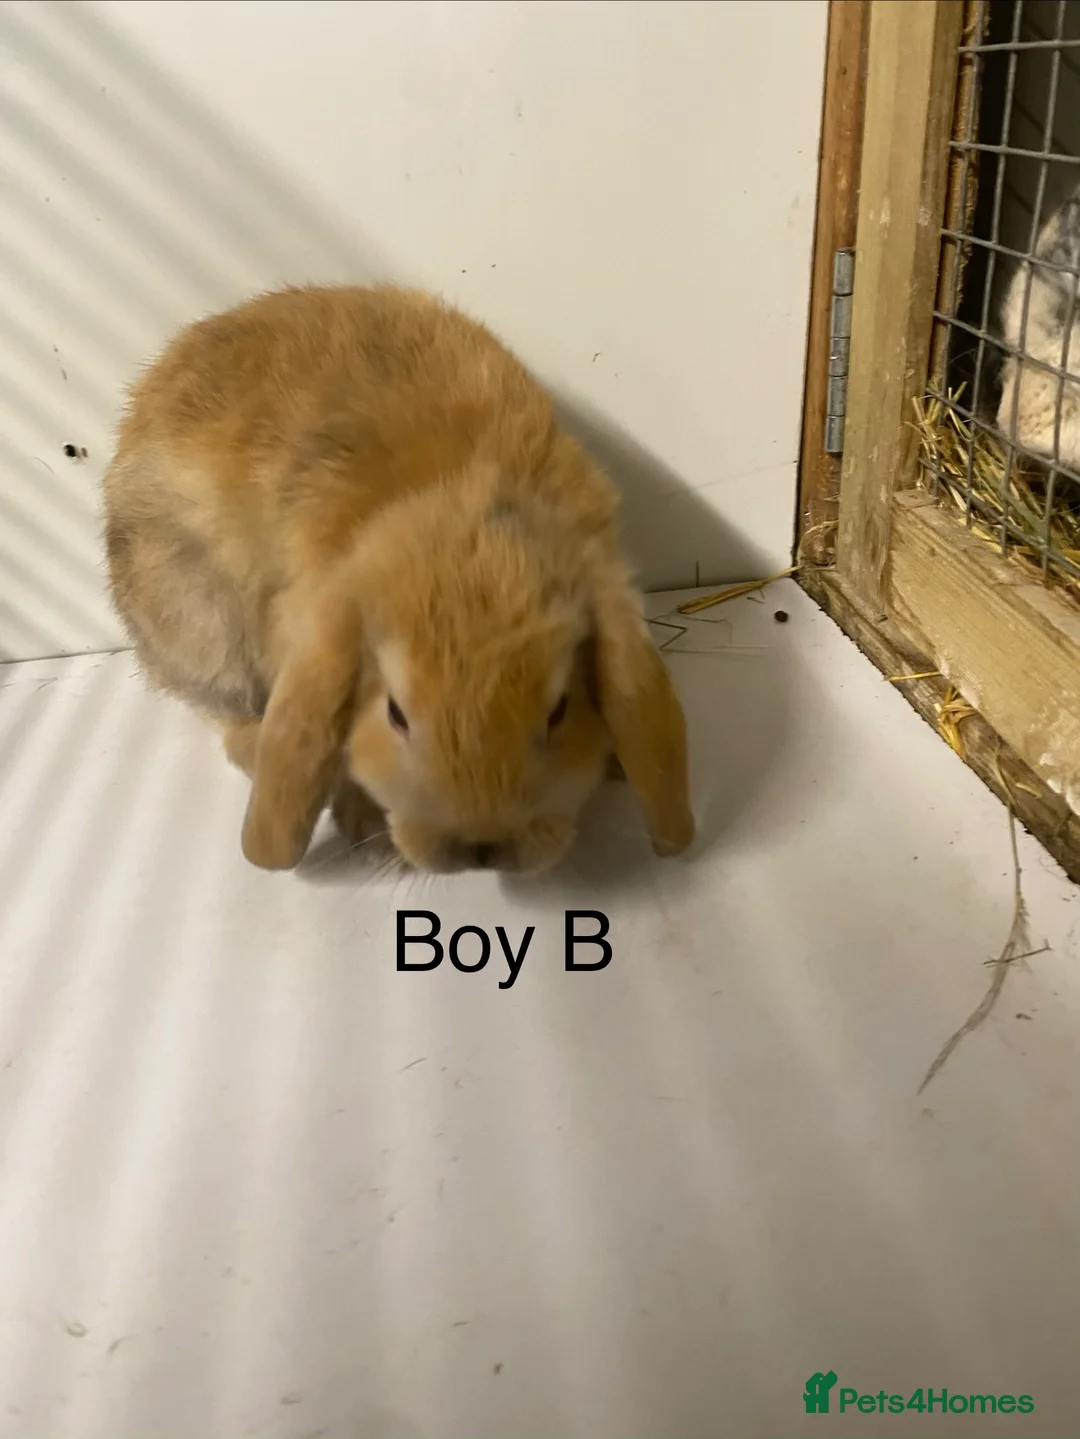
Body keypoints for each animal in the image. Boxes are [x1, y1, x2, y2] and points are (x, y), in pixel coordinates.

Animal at [103, 285, 694, 874]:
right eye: (395, 714)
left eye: (560, 711)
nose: (482, 848)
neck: (460, 506)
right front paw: (364, 822)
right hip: (199, 624)